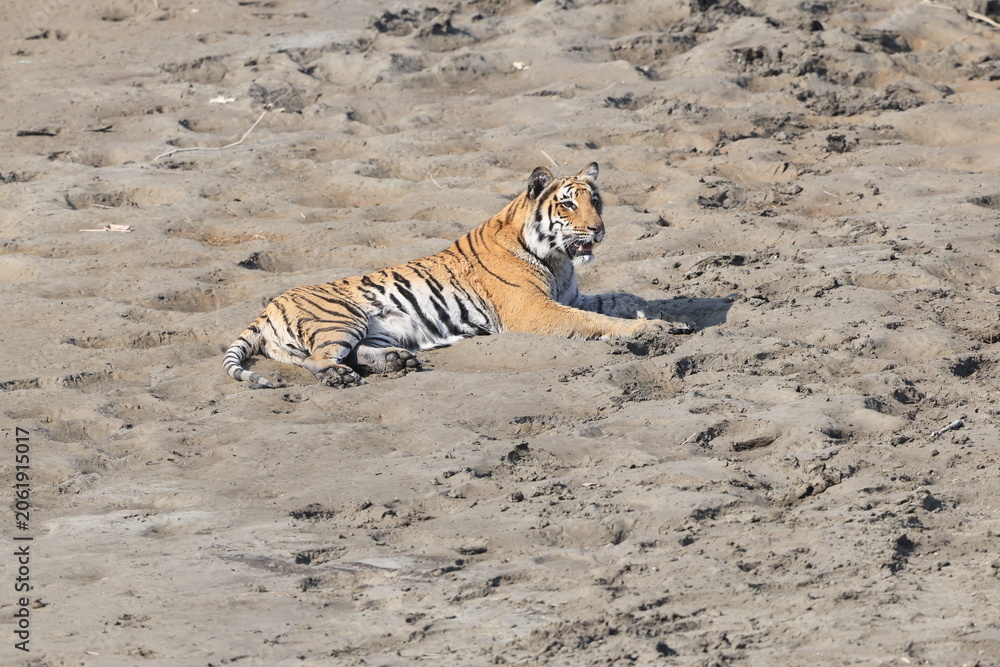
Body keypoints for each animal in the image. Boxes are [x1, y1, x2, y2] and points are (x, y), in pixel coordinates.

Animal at [223, 162, 691, 389]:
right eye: (569, 205)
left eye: (595, 201)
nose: (598, 229)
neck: (558, 260)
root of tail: (267, 307)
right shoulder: (535, 311)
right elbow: (596, 321)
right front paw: (649, 332)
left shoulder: (569, 296)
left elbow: (621, 300)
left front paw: (670, 318)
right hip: (341, 318)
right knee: (320, 361)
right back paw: (343, 378)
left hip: (377, 330)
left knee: (356, 353)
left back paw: (398, 362)